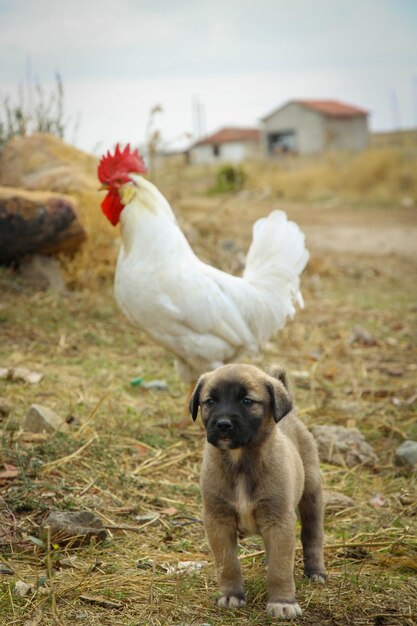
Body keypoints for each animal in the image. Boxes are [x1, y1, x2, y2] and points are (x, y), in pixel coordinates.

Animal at [190, 364, 326, 616]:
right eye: (210, 401)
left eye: (247, 401)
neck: (240, 461)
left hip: (312, 492)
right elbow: (228, 563)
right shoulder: (218, 520)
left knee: (312, 534)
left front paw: (283, 601)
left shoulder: (279, 519)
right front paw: (231, 595)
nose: (223, 425)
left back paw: (315, 571)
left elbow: (281, 568)